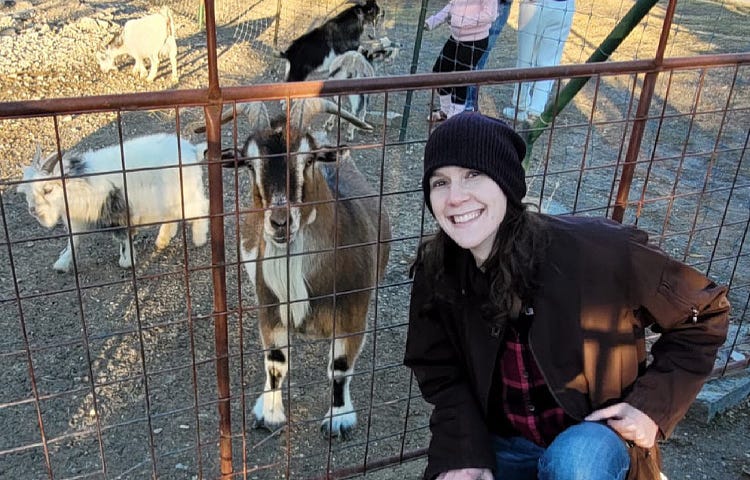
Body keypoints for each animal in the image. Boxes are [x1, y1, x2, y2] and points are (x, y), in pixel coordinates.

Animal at [16, 133, 209, 272]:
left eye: (47, 190)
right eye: (26, 192)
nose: (33, 210)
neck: (79, 183)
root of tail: (192, 150)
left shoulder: (118, 212)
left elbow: (123, 237)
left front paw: (127, 261)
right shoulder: (78, 220)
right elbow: (73, 242)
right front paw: (61, 264)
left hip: (186, 194)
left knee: (201, 207)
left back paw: (199, 239)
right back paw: (162, 240)